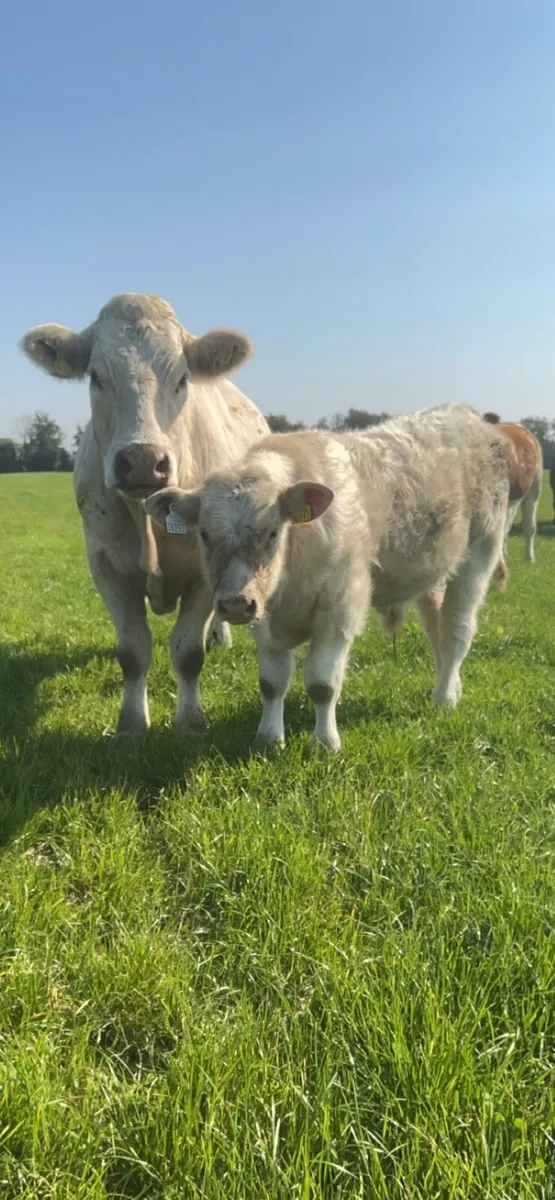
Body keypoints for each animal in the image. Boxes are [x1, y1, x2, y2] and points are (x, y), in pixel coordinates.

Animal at [21, 293, 269, 735]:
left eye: (183, 378)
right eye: (96, 376)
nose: (141, 460)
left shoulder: (201, 572)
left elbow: (188, 652)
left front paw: (190, 722)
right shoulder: (105, 564)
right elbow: (133, 651)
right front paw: (132, 724)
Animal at [145, 405, 510, 752]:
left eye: (273, 532)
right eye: (204, 534)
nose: (235, 604)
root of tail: (467, 416)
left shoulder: (339, 611)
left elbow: (322, 684)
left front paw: (324, 743)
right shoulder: (265, 619)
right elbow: (272, 683)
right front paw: (269, 738)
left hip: (479, 556)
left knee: (457, 633)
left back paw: (444, 698)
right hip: (434, 576)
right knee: (438, 629)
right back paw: (451, 687)